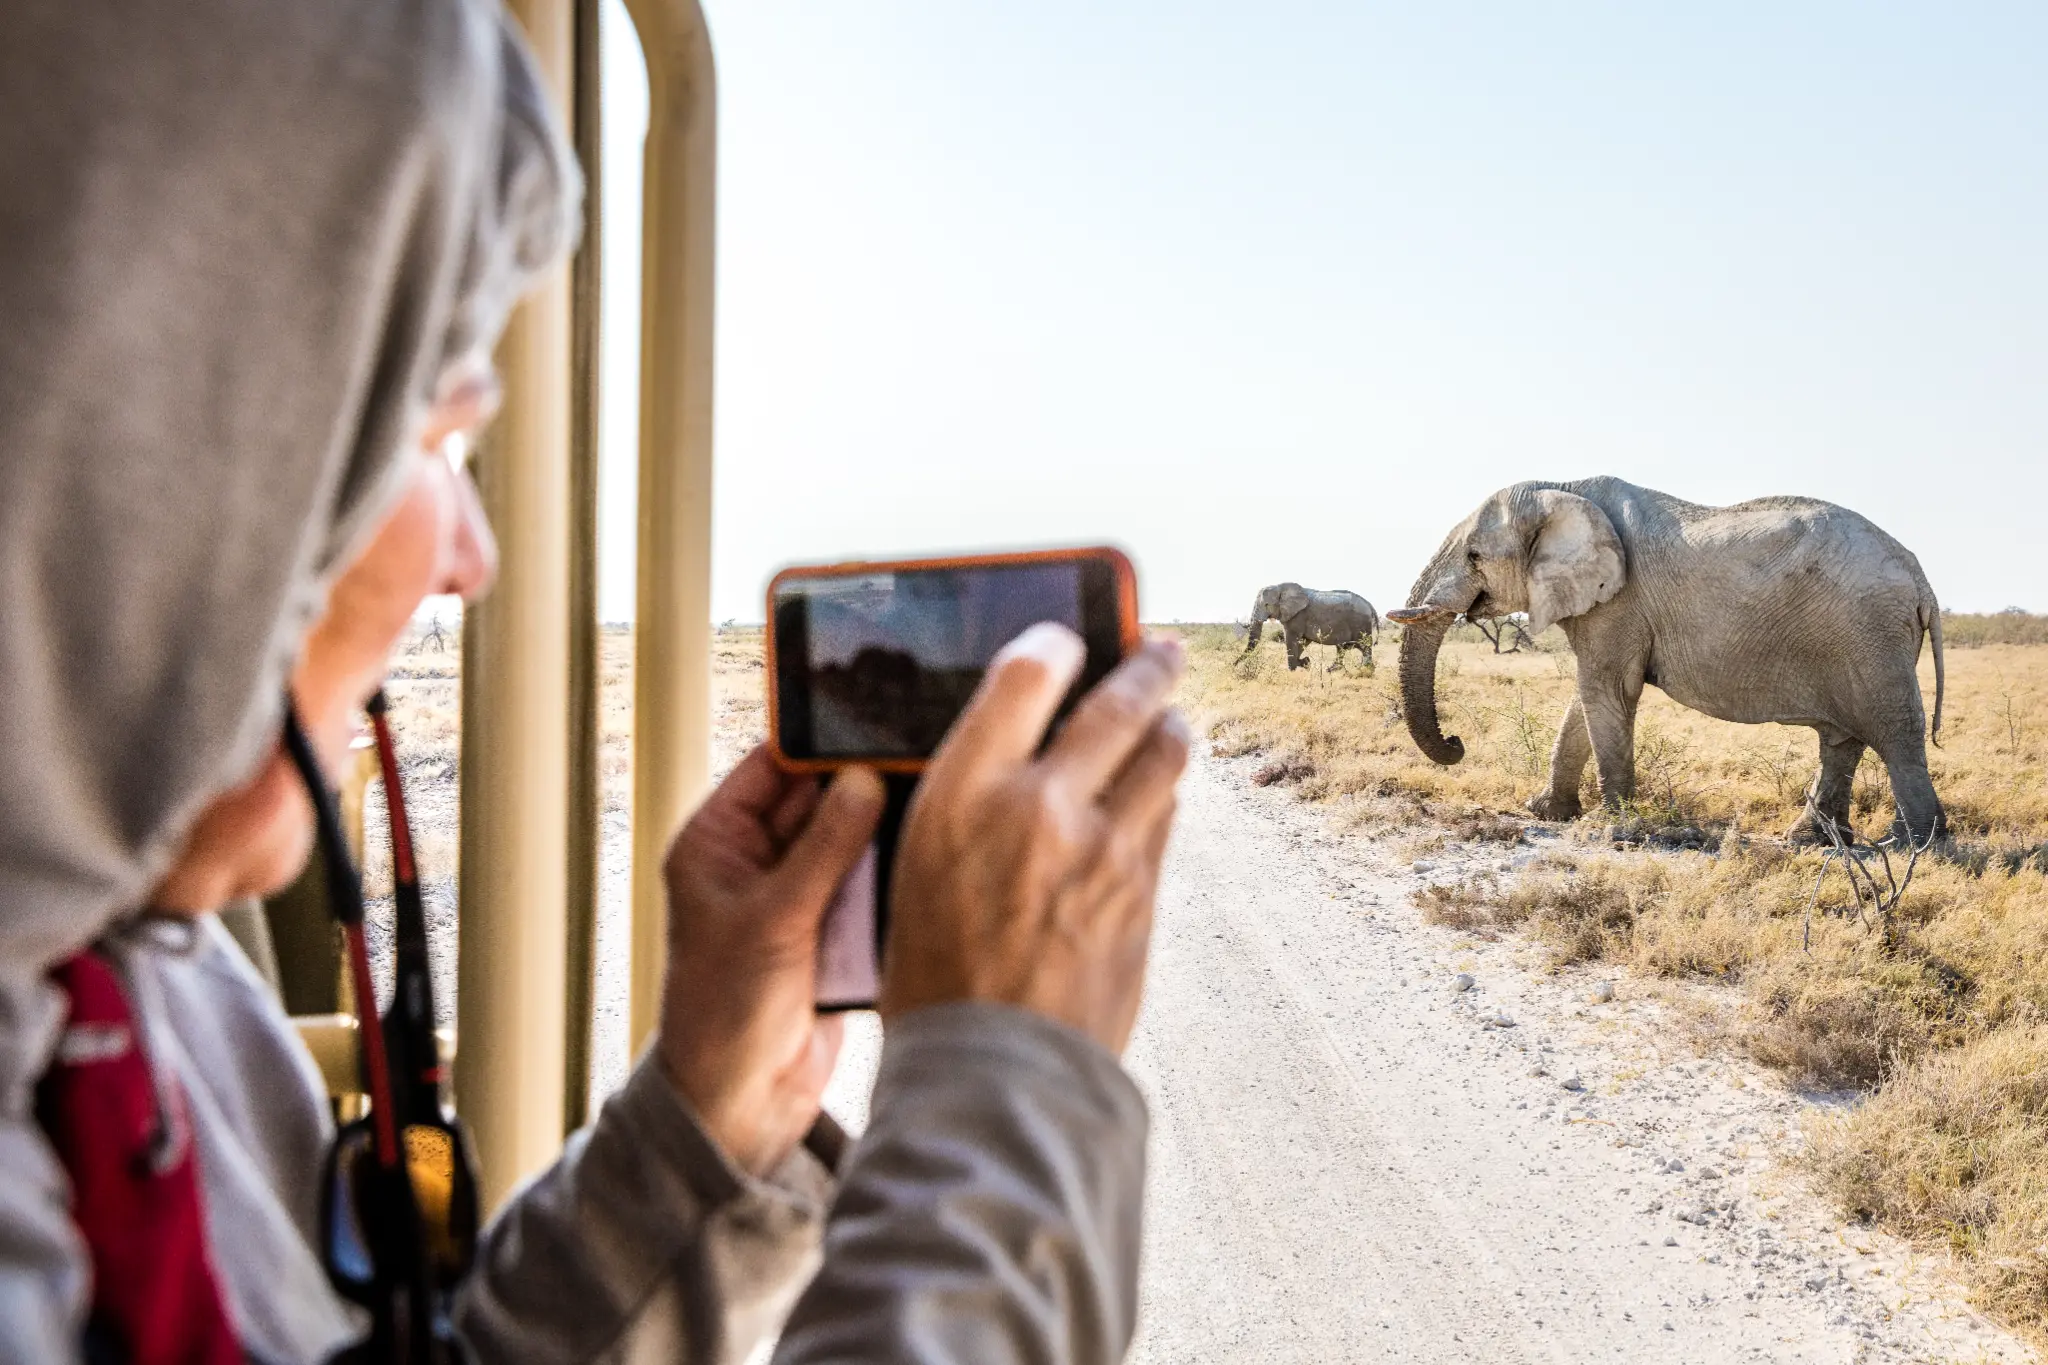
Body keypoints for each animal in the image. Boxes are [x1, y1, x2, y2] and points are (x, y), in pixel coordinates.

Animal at [1244, 583, 1379, 671]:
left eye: (1266, 605)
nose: (1236, 664)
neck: (1281, 587)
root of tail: (1370, 604)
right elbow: (1303, 641)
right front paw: (1306, 663)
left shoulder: (1298, 616)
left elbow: (1291, 640)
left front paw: (1292, 670)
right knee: (1343, 647)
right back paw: (1333, 670)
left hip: (1360, 623)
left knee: (1363, 646)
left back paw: (1366, 670)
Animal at [1385, 477, 1946, 843]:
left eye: (1475, 557)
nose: (1456, 743)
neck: (1560, 489)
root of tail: (1922, 580)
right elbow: (1586, 700)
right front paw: (1546, 812)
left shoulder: (1619, 601)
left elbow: (1607, 690)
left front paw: (1614, 827)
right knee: (1841, 741)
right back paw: (1811, 841)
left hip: (1870, 636)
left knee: (1895, 734)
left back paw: (1914, 845)